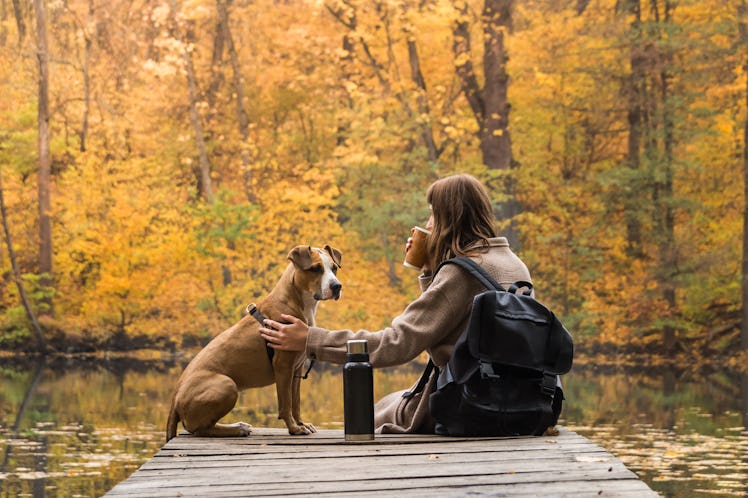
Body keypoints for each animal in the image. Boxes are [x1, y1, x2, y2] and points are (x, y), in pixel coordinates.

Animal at [167, 245, 342, 440]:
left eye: (334, 268)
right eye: (315, 268)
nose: (337, 286)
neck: (296, 301)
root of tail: (174, 400)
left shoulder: (296, 369)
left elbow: (295, 402)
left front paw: (301, 423)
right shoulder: (283, 367)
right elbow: (285, 404)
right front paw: (294, 428)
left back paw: (238, 426)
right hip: (227, 385)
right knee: (199, 429)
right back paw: (236, 429)